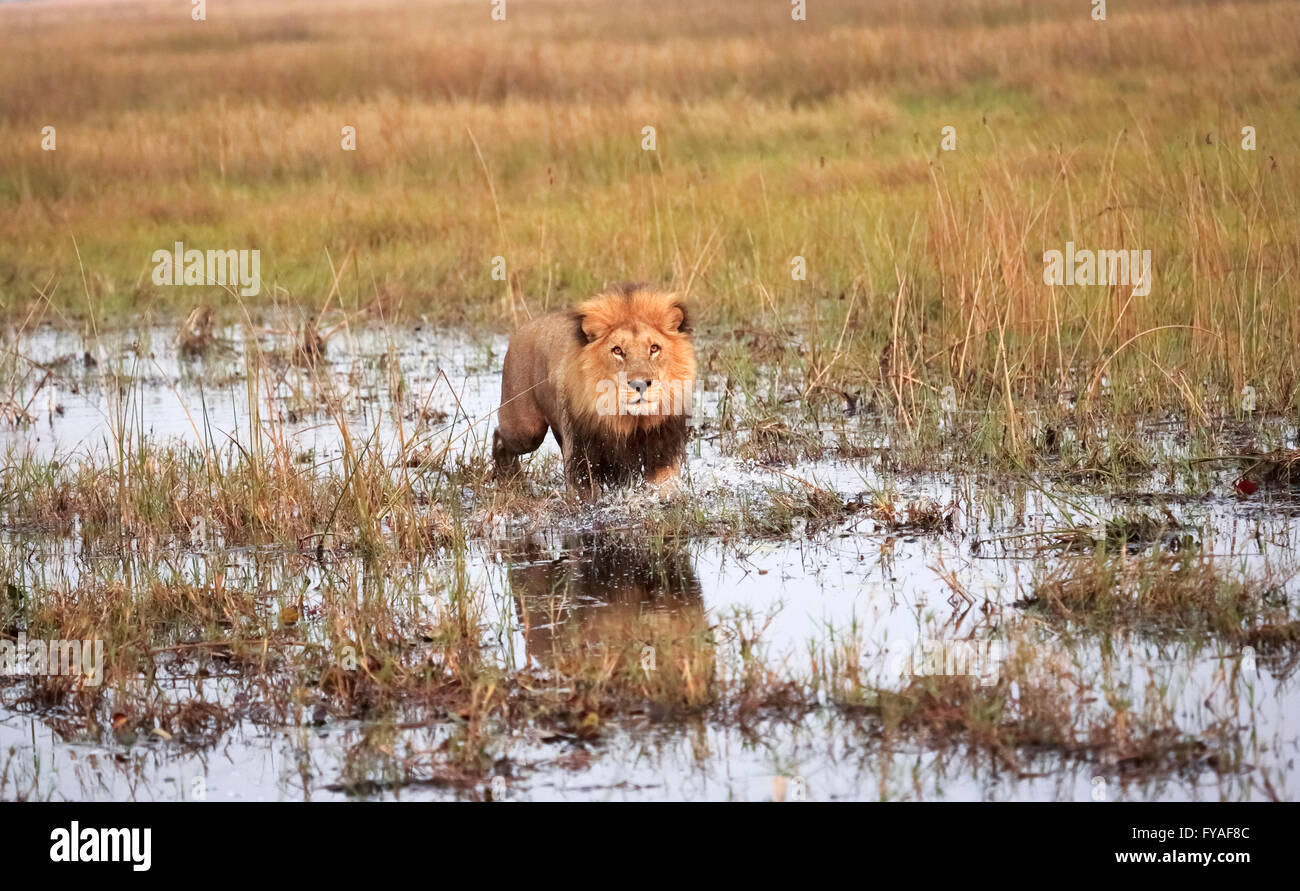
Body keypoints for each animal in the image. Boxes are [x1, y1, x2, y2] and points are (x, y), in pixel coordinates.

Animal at [491, 280, 696, 496]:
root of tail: (526, 326)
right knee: (499, 436)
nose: (640, 384)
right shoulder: (583, 458)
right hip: (526, 429)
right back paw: (509, 479)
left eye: (654, 348)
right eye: (617, 350)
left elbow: (665, 490)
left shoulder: (662, 451)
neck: (628, 422)